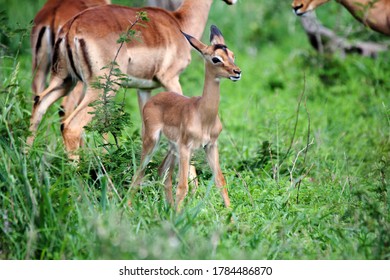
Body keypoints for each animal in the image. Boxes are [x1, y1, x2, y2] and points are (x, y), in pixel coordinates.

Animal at [134, 25, 241, 210]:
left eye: (232, 55)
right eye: (216, 59)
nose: (237, 72)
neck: (203, 115)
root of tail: (154, 99)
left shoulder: (211, 146)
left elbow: (220, 181)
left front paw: (231, 214)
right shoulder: (186, 148)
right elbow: (183, 185)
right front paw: (178, 215)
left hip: (173, 148)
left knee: (163, 171)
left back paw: (168, 208)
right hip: (153, 142)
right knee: (139, 174)